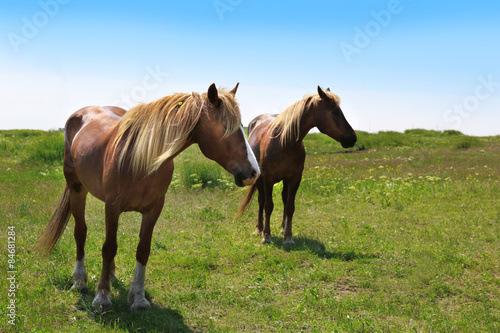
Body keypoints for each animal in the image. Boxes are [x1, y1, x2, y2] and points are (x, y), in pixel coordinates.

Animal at [35, 83, 260, 312]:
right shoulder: (112, 206)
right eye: (225, 126)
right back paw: (80, 281)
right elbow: (109, 247)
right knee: (81, 232)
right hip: (77, 190)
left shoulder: (153, 208)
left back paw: (111, 275)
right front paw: (102, 296)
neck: (141, 158)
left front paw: (138, 298)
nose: (253, 172)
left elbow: (142, 249)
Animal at [237, 86, 356, 244]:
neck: (284, 142)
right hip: (259, 179)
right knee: (261, 201)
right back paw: (259, 229)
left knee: (283, 199)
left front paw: (288, 236)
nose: (353, 138)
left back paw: (282, 228)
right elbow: (268, 206)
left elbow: (290, 207)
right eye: (335, 112)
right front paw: (266, 236)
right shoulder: (268, 178)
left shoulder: (295, 178)